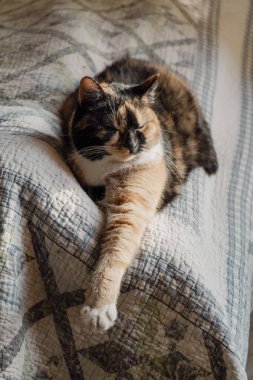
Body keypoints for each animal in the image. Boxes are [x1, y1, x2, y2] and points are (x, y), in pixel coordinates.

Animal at [60, 57, 217, 332]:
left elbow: (116, 249)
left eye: (141, 127)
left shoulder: (131, 204)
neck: (106, 170)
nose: (133, 146)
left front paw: (99, 308)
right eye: (112, 128)